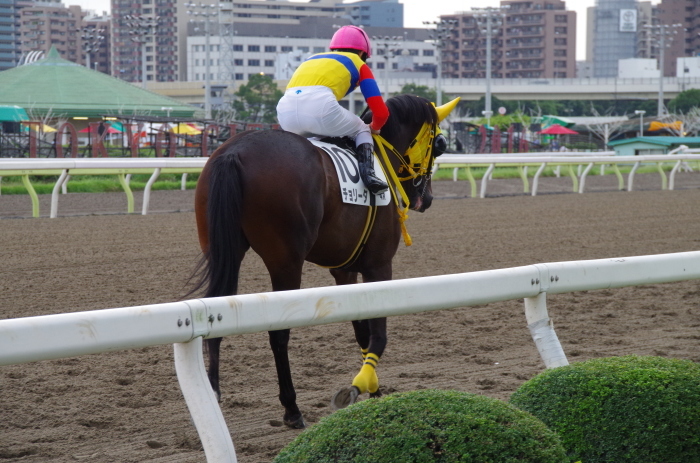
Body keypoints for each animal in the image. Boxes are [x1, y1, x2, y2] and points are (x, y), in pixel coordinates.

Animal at [191, 94, 462, 432]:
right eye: (439, 144)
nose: (427, 199)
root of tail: (233, 152)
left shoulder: (343, 269)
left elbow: (361, 331)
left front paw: (373, 389)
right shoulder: (378, 265)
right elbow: (378, 333)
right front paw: (362, 388)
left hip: (223, 251)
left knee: (217, 309)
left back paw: (214, 392)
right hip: (286, 262)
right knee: (279, 333)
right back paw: (292, 409)